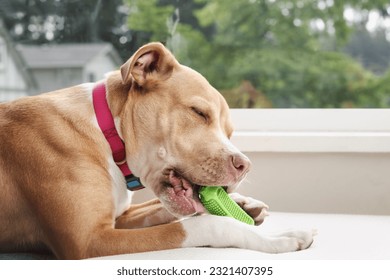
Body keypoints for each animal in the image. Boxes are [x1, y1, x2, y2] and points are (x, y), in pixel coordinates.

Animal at [0, 42, 314, 260]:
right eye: (199, 113)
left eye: (230, 132)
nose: (245, 166)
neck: (107, 133)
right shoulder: (87, 240)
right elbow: (207, 224)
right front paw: (280, 238)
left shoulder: (119, 219)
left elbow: (160, 208)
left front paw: (245, 204)